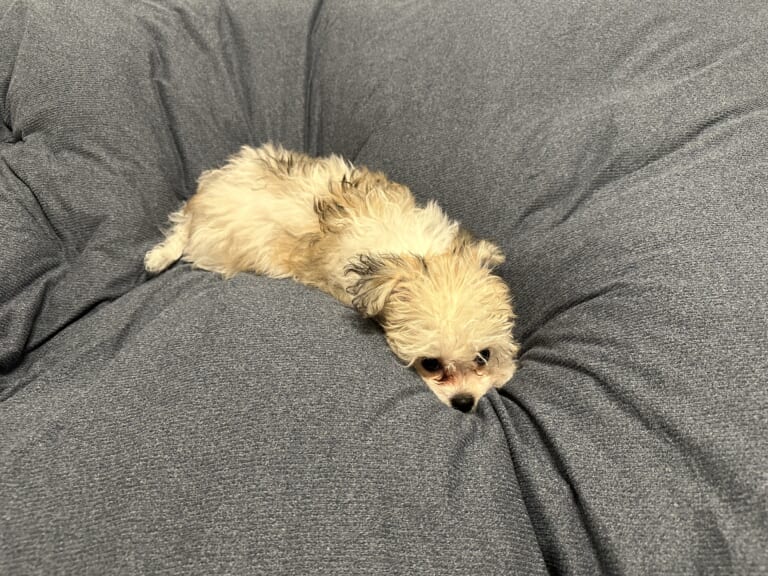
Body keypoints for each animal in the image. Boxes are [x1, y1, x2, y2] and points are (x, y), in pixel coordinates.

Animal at [145, 143, 519, 412]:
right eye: (430, 364)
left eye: (483, 356)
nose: (464, 402)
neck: (408, 253)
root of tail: (206, 194)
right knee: (182, 229)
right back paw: (160, 256)